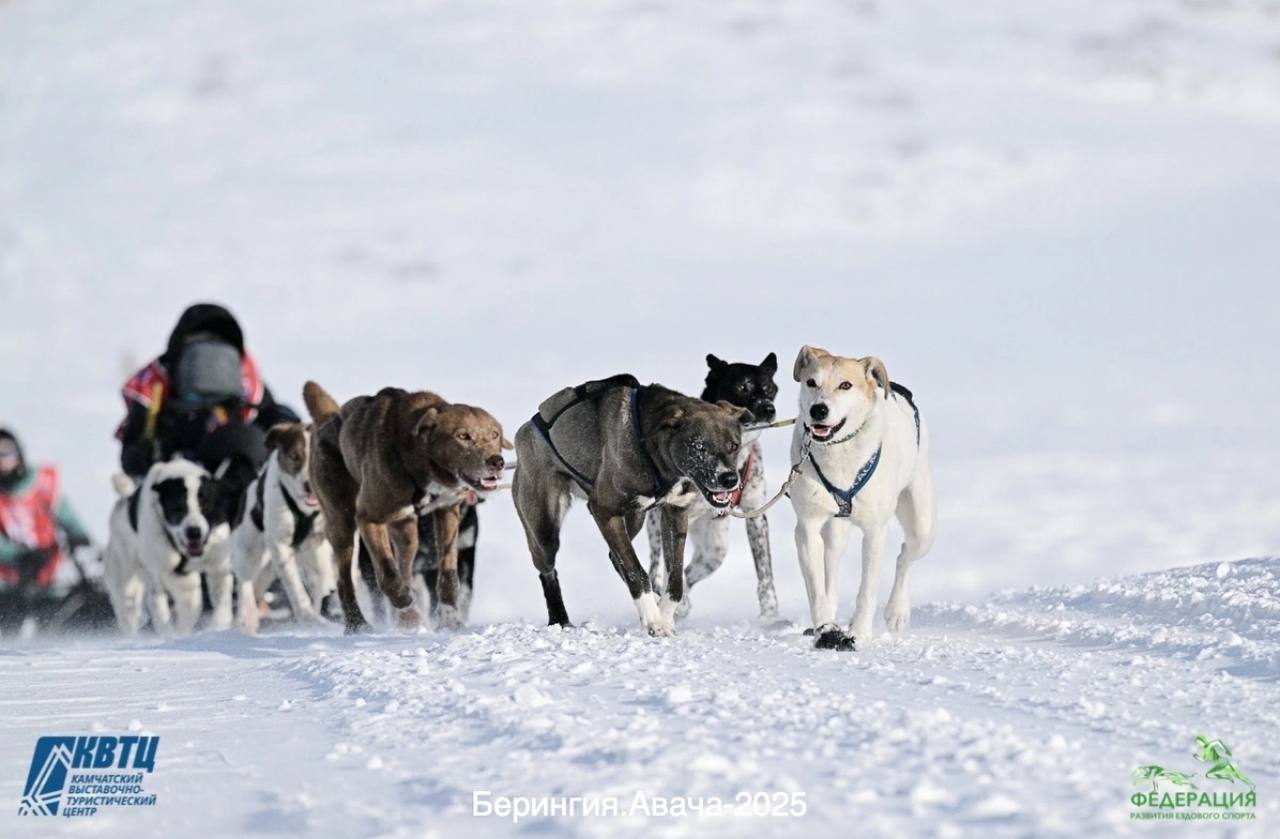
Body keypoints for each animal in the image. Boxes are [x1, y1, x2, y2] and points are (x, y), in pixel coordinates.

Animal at [304, 381, 509, 630]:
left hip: (406, 531)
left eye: (494, 434)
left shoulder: (447, 511)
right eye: (463, 435)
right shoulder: (369, 518)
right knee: (345, 581)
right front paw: (407, 609)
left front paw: (449, 620)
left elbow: (448, 574)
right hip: (341, 523)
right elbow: (389, 576)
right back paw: (359, 623)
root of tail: (330, 418)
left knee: (405, 566)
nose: (497, 461)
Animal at [509, 376, 747, 637]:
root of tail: (526, 429)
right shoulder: (604, 511)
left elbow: (675, 579)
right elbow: (635, 570)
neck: (652, 451)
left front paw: (664, 615)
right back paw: (559, 618)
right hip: (545, 529)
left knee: (614, 556)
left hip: (634, 518)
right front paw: (652, 619)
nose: (729, 479)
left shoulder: (675, 512)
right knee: (548, 570)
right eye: (699, 447)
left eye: (734, 446)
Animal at [645, 353, 773, 622]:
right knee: (656, 568)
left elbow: (765, 573)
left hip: (714, 548)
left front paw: (771, 617)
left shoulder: (755, 516)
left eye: (769, 388)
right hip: (657, 526)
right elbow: (671, 566)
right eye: (742, 387)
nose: (769, 409)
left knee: (694, 568)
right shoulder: (673, 513)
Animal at [783, 345, 936, 650]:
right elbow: (817, 588)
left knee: (904, 555)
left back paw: (896, 611)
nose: (819, 409)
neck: (839, 455)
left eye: (845, 385)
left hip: (921, 525)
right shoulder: (807, 527)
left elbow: (868, 589)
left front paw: (861, 630)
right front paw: (825, 628)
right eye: (811, 382)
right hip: (835, 531)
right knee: (831, 566)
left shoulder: (875, 531)